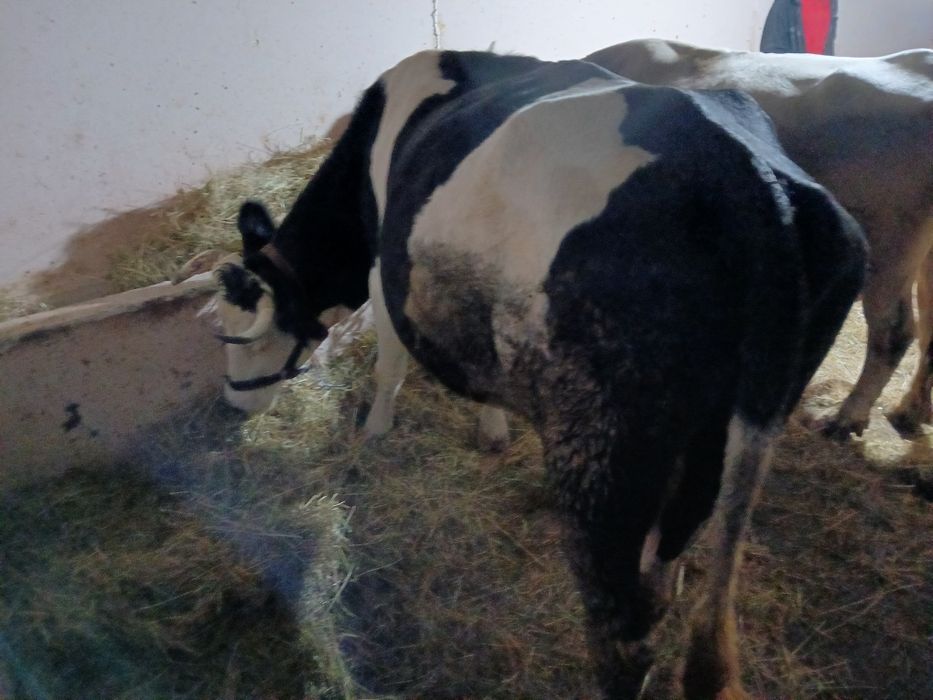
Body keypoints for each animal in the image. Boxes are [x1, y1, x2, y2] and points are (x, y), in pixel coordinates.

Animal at [209, 50, 865, 698]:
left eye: (244, 332)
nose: (232, 405)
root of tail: (758, 184)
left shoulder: (382, 270)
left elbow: (390, 361)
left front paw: (374, 430)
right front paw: (491, 429)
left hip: (600, 451)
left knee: (623, 641)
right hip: (724, 432)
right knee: (672, 552)